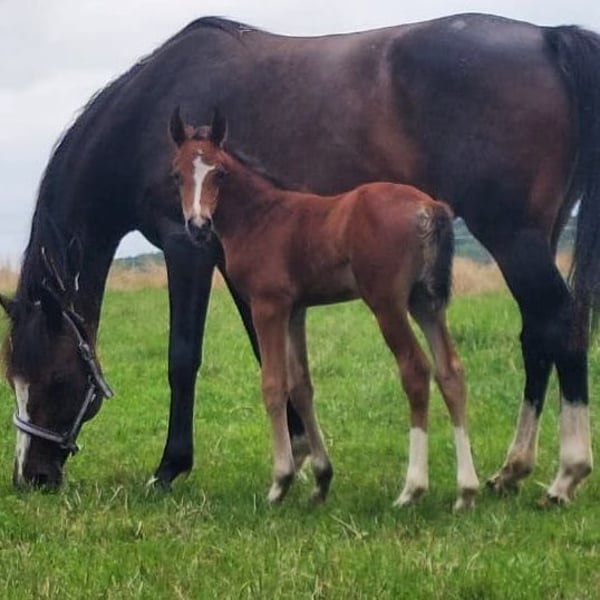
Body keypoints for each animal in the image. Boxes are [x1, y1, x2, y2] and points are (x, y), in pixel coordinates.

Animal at [171, 108, 479, 509]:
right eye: (176, 174)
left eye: (219, 172)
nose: (198, 225)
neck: (261, 217)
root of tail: (429, 207)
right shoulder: (295, 309)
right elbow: (301, 384)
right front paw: (321, 480)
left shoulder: (268, 306)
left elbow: (273, 384)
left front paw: (280, 481)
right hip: (425, 302)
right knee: (450, 372)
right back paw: (466, 490)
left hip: (387, 304)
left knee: (415, 369)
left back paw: (411, 489)